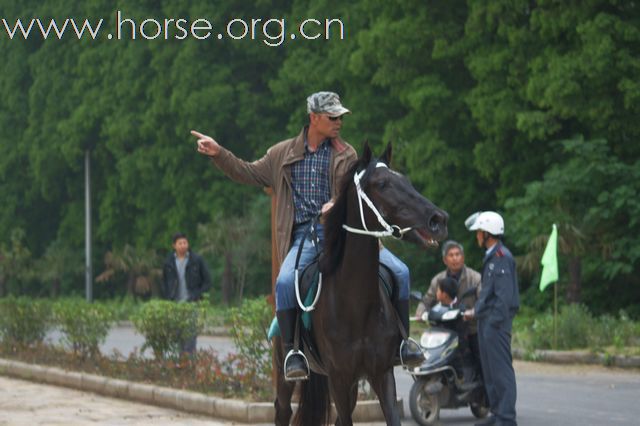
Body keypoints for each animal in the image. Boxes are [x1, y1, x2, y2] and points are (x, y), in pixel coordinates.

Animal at [272, 143, 448, 426]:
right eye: (383, 184)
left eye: (406, 181)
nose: (438, 220)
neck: (356, 305)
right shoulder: (339, 378)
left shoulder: (381, 374)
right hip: (286, 375)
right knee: (283, 410)